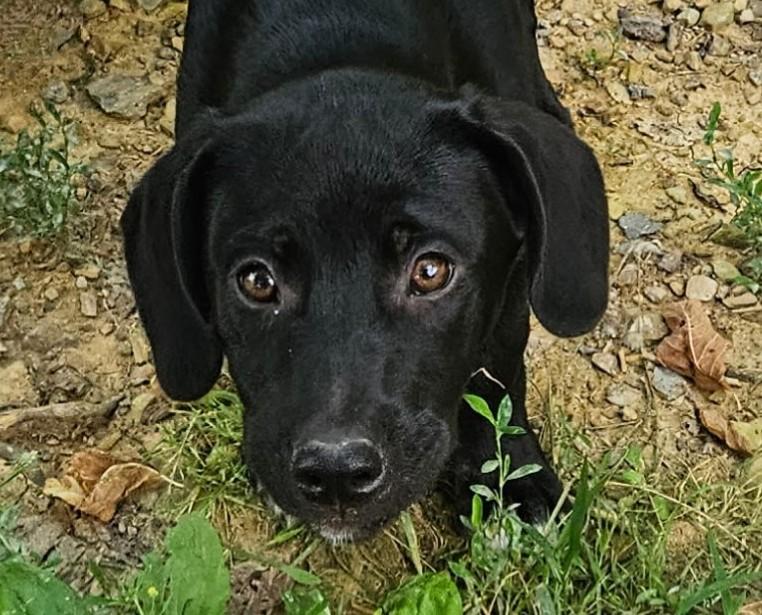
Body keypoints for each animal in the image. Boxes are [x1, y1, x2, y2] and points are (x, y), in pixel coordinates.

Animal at [121, 0, 608, 542]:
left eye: (430, 271)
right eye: (257, 281)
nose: (335, 475)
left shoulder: (515, 277)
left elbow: (497, 367)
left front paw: (507, 479)